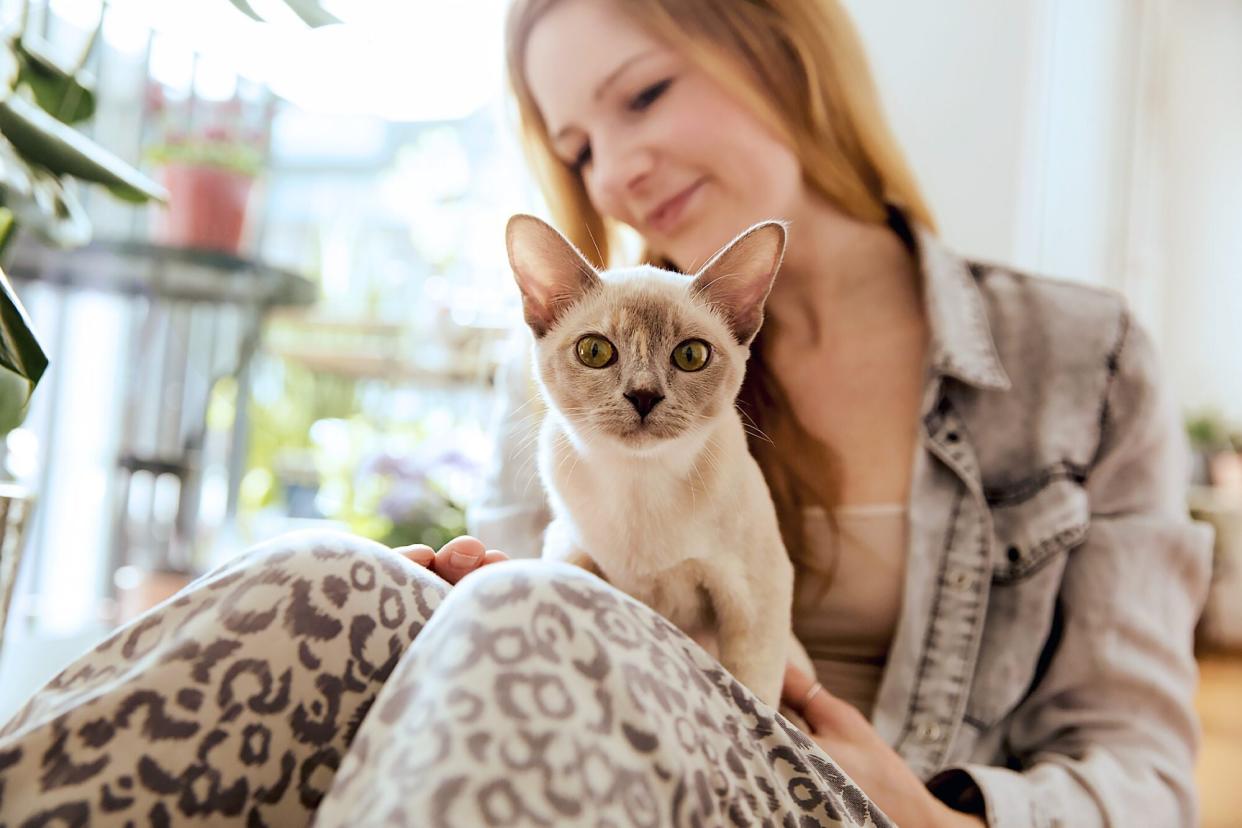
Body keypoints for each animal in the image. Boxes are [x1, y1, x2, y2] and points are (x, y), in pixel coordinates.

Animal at [506, 212, 814, 705]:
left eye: (690, 355)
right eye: (594, 351)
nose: (644, 396)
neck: (639, 482)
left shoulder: (757, 595)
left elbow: (755, 690)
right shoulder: (570, 547)